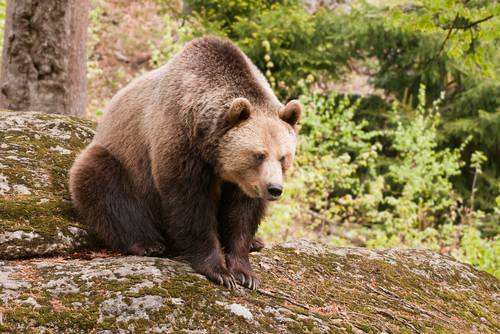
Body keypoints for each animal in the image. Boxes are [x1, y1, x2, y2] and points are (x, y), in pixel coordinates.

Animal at [69, 35, 300, 288]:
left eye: (283, 157)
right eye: (259, 155)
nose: (274, 189)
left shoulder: (244, 181)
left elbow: (242, 212)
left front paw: (245, 272)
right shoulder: (181, 142)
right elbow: (190, 204)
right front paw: (219, 270)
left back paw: (257, 242)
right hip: (121, 161)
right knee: (101, 181)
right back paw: (147, 244)